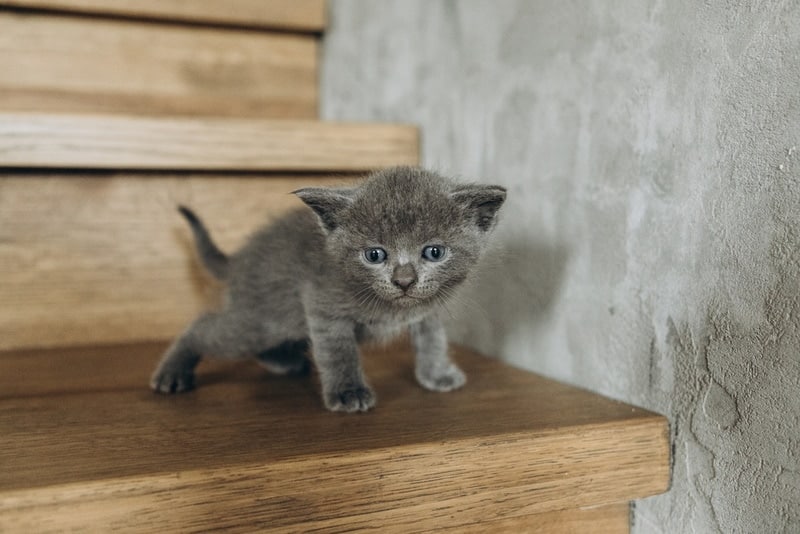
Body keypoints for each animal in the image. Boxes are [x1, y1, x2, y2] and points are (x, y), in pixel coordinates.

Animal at [150, 168, 506, 414]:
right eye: (374, 255)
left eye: (434, 252)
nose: (404, 280)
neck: (395, 308)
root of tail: (239, 260)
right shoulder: (323, 306)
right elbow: (338, 351)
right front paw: (349, 393)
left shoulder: (427, 310)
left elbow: (433, 340)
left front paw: (437, 374)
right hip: (263, 319)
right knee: (206, 326)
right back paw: (173, 372)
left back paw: (284, 361)